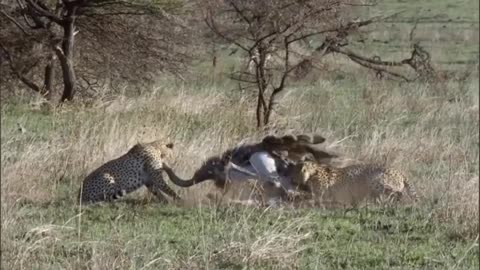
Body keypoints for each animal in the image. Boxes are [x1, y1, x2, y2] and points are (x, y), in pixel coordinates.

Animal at [286, 160, 418, 209]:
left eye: (294, 172)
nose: (291, 179)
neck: (313, 172)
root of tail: (399, 171)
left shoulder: (322, 195)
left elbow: (311, 199)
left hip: (376, 180)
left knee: (396, 193)